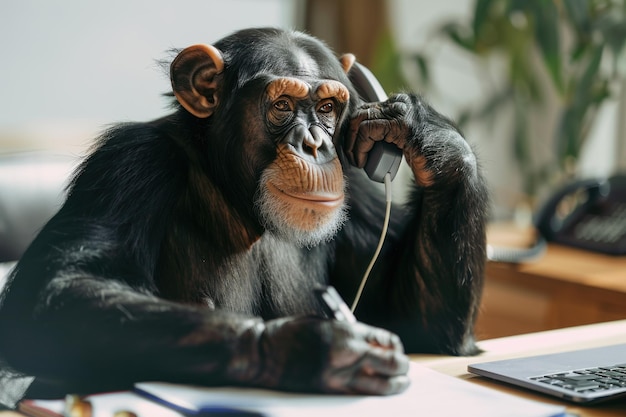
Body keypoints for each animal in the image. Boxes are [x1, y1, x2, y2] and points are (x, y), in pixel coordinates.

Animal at [0, 26, 488, 400]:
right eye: (283, 105)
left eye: (328, 108)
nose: (316, 144)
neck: (236, 195)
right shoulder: (128, 164)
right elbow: (55, 292)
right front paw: (304, 349)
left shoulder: (360, 192)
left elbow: (421, 323)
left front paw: (421, 129)